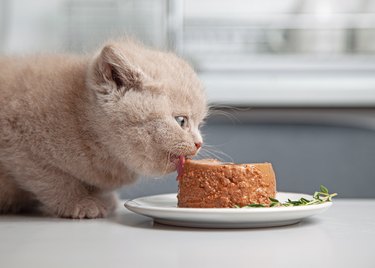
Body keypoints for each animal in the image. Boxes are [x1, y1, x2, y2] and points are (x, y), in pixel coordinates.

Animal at [0, 40, 209, 219]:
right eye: (181, 121)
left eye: (200, 125)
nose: (199, 143)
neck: (80, 121)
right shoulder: (19, 144)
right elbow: (53, 178)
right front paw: (79, 203)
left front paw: (103, 200)